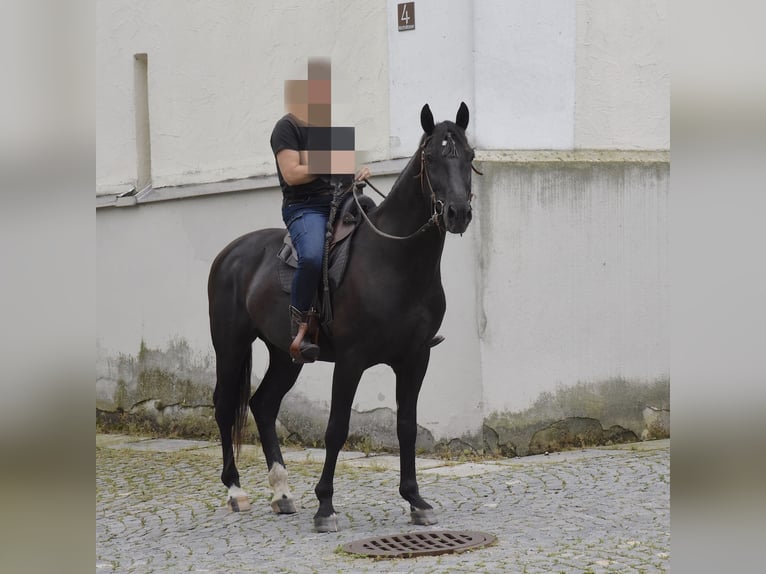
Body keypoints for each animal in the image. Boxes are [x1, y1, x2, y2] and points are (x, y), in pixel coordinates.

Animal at [208, 102, 475, 532]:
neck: (394, 261)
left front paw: (415, 500)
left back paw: (282, 493)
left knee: (263, 404)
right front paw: (325, 507)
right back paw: (236, 491)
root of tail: (229, 254)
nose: (458, 213)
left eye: (470, 156)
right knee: (223, 405)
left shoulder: (415, 358)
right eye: (431, 158)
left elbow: (406, 427)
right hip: (230, 345)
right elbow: (336, 429)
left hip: (287, 354)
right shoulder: (351, 360)